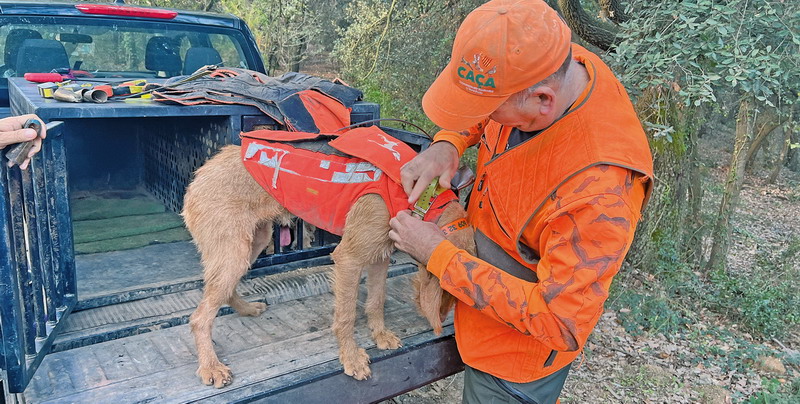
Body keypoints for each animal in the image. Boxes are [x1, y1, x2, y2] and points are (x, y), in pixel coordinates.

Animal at [184, 145, 472, 388]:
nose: (445, 320)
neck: (423, 200)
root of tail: (200, 174)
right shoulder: (349, 259)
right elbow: (346, 315)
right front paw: (351, 357)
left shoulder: (380, 257)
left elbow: (377, 300)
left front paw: (380, 334)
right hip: (234, 251)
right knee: (200, 317)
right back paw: (211, 366)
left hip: (254, 242)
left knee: (224, 290)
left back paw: (245, 308)